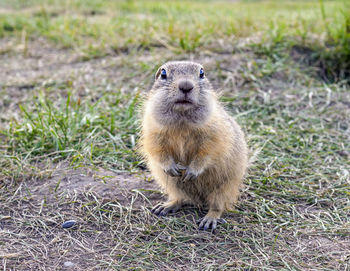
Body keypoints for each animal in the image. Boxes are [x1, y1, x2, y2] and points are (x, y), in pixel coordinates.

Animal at [139, 61, 249, 232]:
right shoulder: (153, 130)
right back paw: (165, 206)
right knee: (182, 198)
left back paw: (209, 220)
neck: (182, 121)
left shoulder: (215, 132)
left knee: (218, 205)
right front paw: (172, 167)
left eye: (202, 73)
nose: (186, 86)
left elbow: (208, 151)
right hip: (173, 185)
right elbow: (157, 149)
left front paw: (192, 171)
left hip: (225, 186)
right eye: (163, 73)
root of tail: (199, 199)